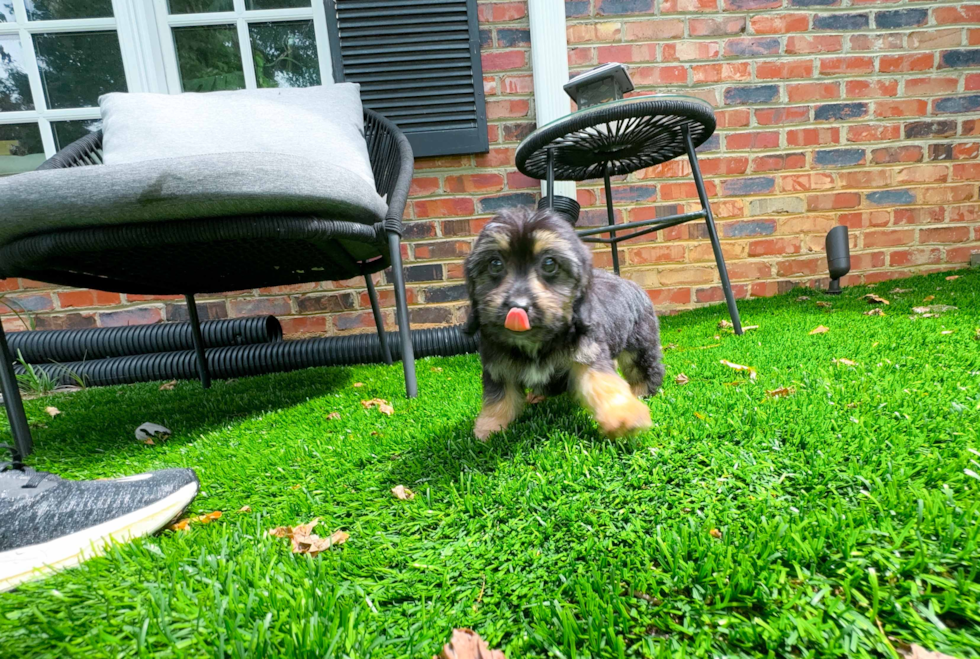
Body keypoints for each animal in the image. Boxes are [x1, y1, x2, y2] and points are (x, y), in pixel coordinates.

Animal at [466, 209, 668, 440]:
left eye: (549, 264)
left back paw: (642, 391)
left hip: (640, 343)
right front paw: (489, 425)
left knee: (644, 368)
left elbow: (602, 382)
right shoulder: (498, 365)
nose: (518, 307)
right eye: (495, 264)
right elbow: (499, 396)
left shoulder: (586, 353)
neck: (537, 342)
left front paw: (623, 413)